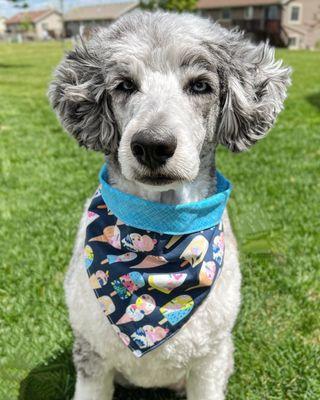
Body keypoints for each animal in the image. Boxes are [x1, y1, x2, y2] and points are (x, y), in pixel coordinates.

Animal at [48, 10, 290, 400]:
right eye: (125, 85)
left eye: (200, 86)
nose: (152, 145)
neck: (160, 230)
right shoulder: (91, 354)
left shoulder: (210, 361)